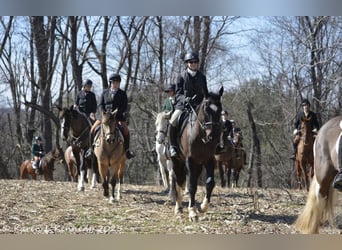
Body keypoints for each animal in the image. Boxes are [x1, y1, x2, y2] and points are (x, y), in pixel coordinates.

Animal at [170, 87, 223, 222]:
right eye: (206, 108)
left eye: (220, 109)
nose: (212, 136)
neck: (201, 136)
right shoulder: (190, 160)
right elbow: (192, 185)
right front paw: (193, 212)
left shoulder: (209, 160)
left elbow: (210, 182)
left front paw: (202, 207)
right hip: (177, 161)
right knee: (178, 181)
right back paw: (178, 208)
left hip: (198, 165)